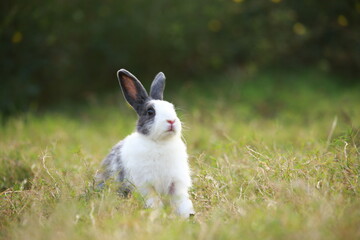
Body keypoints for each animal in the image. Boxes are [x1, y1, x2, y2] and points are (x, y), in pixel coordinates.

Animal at [95, 69, 194, 218]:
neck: (160, 143)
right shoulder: (146, 185)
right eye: (150, 112)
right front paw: (157, 215)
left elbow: (180, 201)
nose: (171, 121)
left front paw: (186, 216)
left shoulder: (176, 184)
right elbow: (154, 201)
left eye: (172, 108)